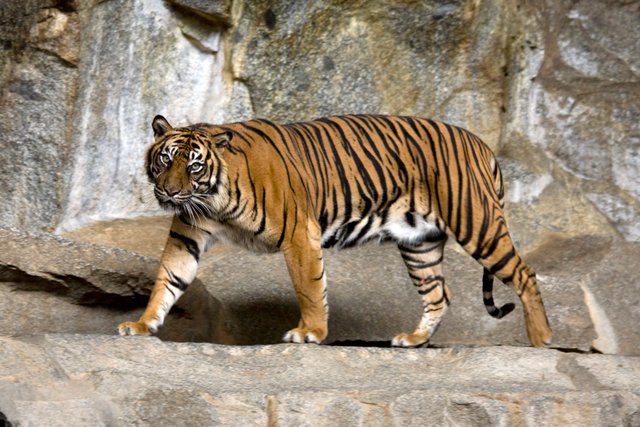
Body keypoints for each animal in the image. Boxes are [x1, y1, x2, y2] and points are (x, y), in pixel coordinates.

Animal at [117, 113, 552, 348]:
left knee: (525, 274)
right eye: (165, 160)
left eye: (193, 166)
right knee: (438, 295)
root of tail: (481, 143)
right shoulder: (187, 236)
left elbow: (309, 287)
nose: (170, 192)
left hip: (477, 222)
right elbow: (167, 281)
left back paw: (541, 340)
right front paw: (141, 325)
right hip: (420, 243)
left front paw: (310, 332)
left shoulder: (298, 233)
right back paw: (413, 340)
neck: (213, 200)